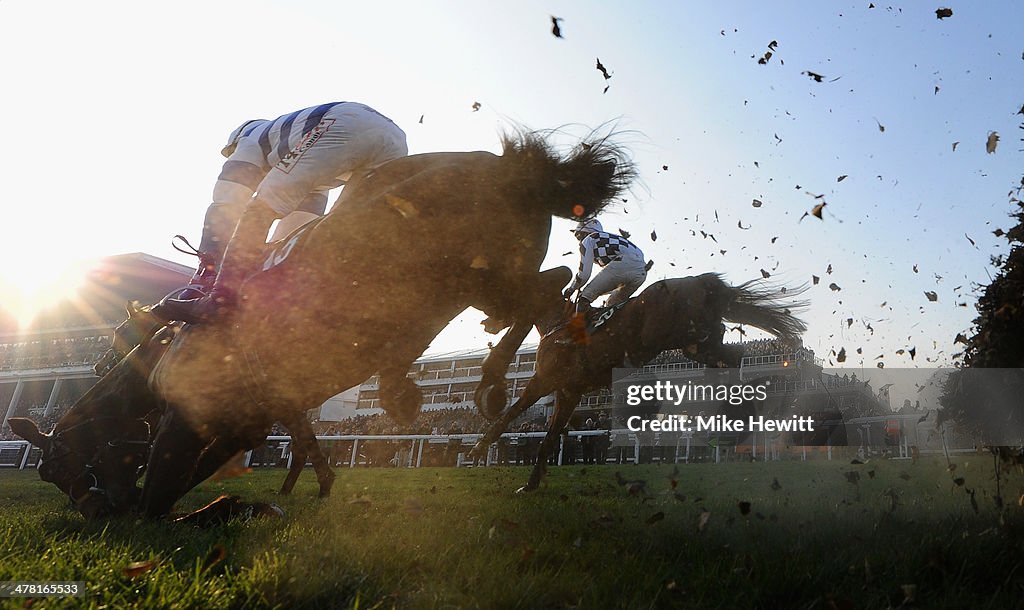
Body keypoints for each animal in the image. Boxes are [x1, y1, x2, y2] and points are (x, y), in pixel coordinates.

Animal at [22, 129, 630, 519]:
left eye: (54, 465)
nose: (98, 509)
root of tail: (516, 167)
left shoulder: (190, 420)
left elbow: (159, 506)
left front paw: (239, 505)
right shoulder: (242, 424)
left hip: (460, 270)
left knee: (545, 294)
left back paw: (491, 381)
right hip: (483, 280)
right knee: (550, 285)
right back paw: (470, 379)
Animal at [468, 274, 806, 493]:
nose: (486, 320)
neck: (558, 324)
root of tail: (701, 280)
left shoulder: (545, 380)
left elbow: (511, 413)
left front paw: (478, 448)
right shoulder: (569, 393)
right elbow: (548, 439)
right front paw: (530, 484)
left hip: (682, 334)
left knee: (729, 355)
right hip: (698, 344)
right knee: (731, 358)